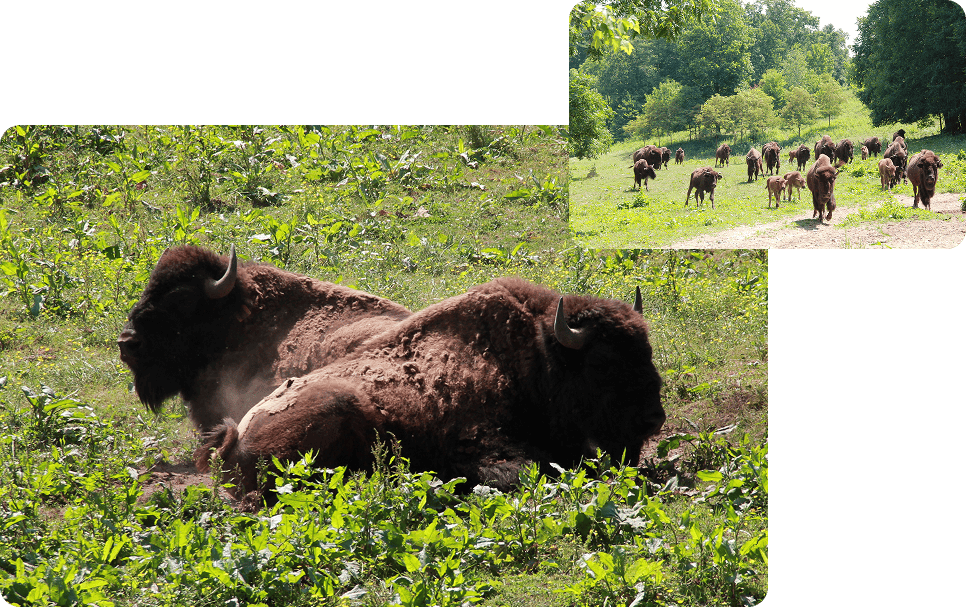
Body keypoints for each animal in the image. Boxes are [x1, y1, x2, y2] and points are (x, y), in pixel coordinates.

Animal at [195, 278, 666, 501]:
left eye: (647, 349)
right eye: (603, 364)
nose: (654, 419)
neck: (534, 355)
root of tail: (236, 435)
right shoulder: (481, 445)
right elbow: (532, 469)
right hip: (337, 407)